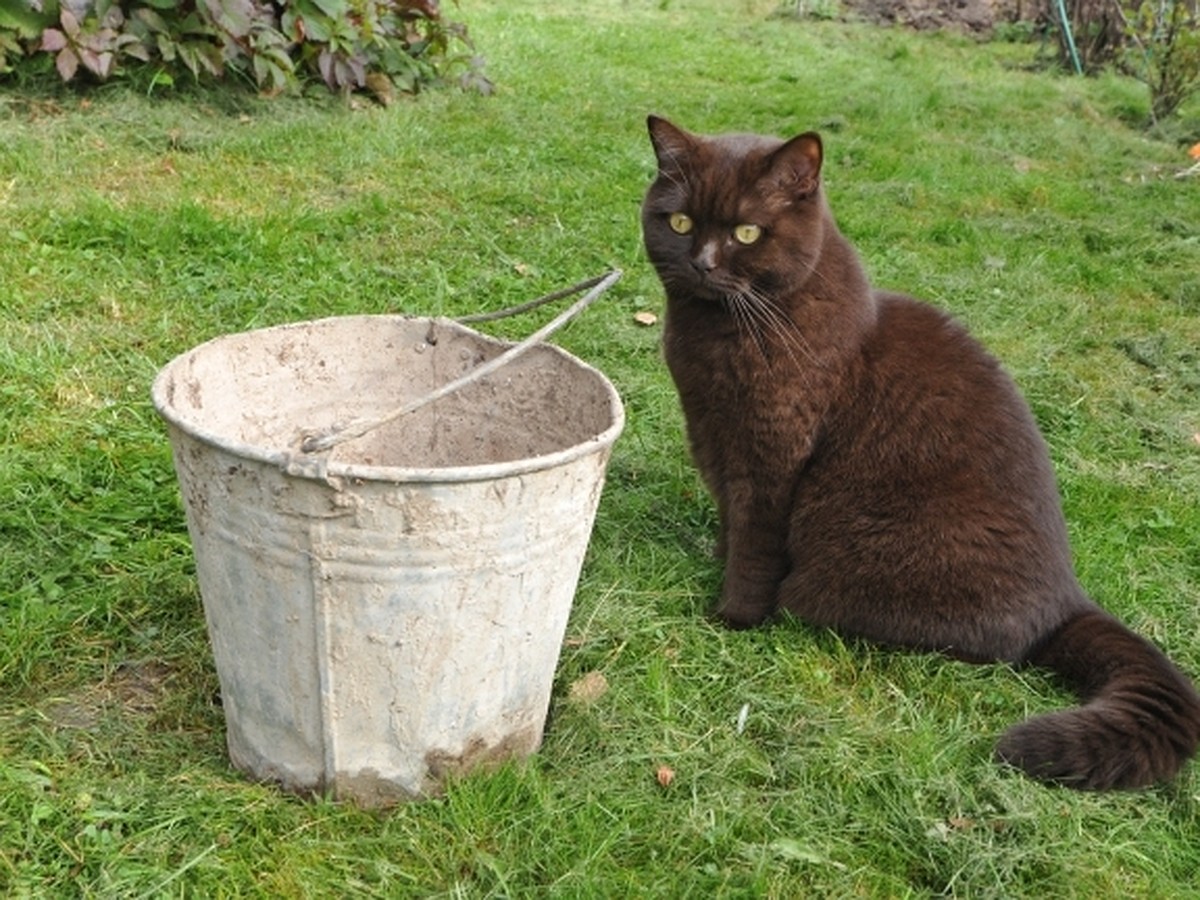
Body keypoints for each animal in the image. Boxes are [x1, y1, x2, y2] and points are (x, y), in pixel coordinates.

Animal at [643, 116, 1200, 792]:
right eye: (679, 223)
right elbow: (732, 524)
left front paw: (734, 615)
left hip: (852, 573)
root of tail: (1067, 602)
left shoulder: (770, 458)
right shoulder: (717, 443)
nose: (700, 262)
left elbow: (755, 544)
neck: (716, 336)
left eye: (747, 232)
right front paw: (716, 563)